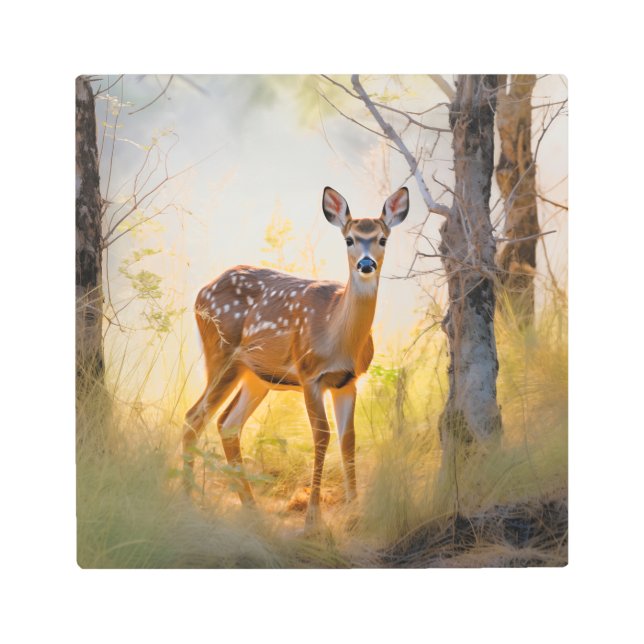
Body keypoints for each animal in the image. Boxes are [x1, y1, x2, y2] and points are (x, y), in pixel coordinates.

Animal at [182, 186, 409, 528]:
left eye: (383, 238)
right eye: (349, 239)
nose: (366, 264)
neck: (337, 335)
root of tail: (200, 293)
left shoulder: (349, 381)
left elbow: (348, 439)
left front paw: (356, 513)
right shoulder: (309, 374)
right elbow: (322, 436)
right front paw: (313, 518)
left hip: (257, 376)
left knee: (227, 424)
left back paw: (250, 508)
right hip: (221, 354)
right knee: (194, 418)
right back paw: (188, 499)